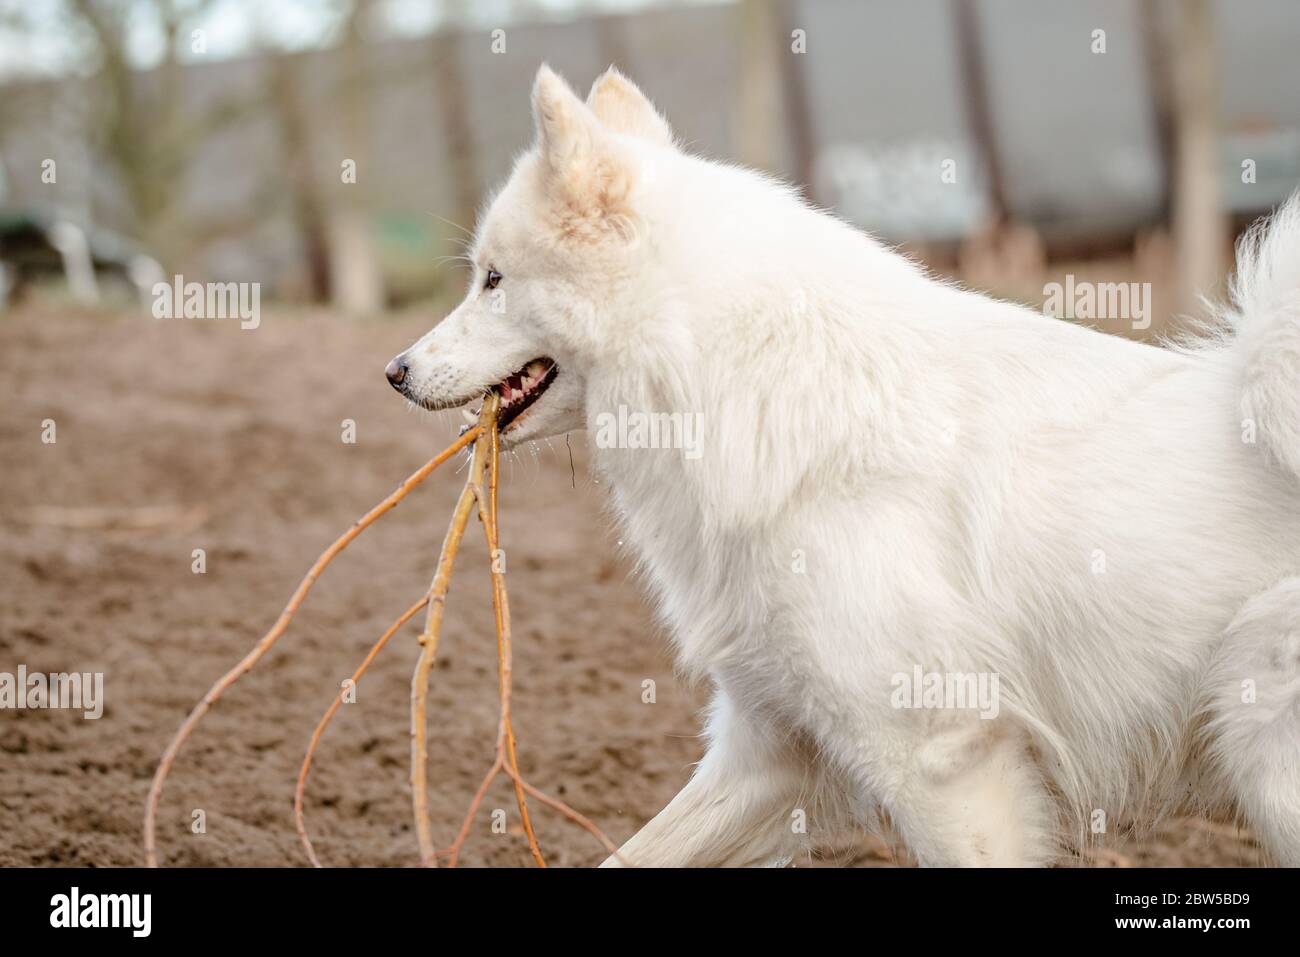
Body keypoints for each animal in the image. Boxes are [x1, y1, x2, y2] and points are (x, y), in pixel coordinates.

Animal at [387, 63, 1300, 863]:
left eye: (492, 280)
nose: (394, 371)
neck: (741, 383)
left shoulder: (944, 759)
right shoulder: (769, 751)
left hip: (1260, 742)